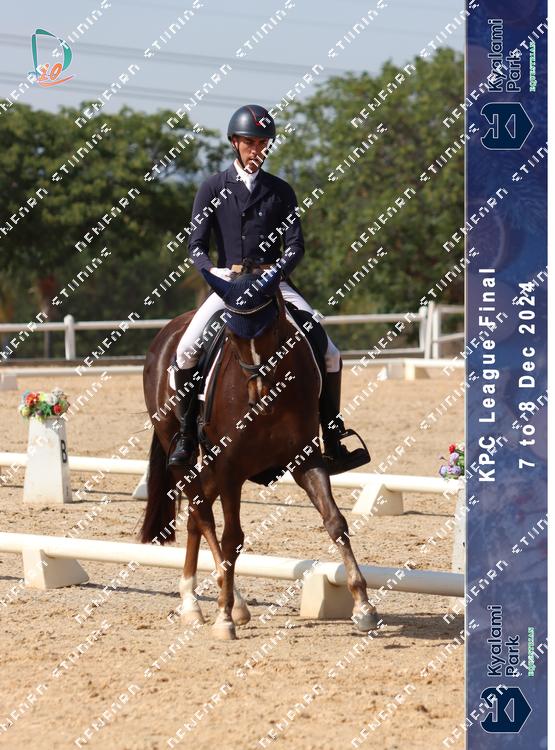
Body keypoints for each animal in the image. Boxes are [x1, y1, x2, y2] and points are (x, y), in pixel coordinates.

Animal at [140, 265, 379, 640]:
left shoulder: (305, 459)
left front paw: (364, 606)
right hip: (179, 450)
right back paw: (210, 604)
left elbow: (335, 521)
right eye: (231, 337)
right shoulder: (230, 468)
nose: (260, 393)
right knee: (202, 515)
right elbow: (232, 538)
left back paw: (200, 599)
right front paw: (224, 617)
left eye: (272, 331)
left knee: (196, 514)